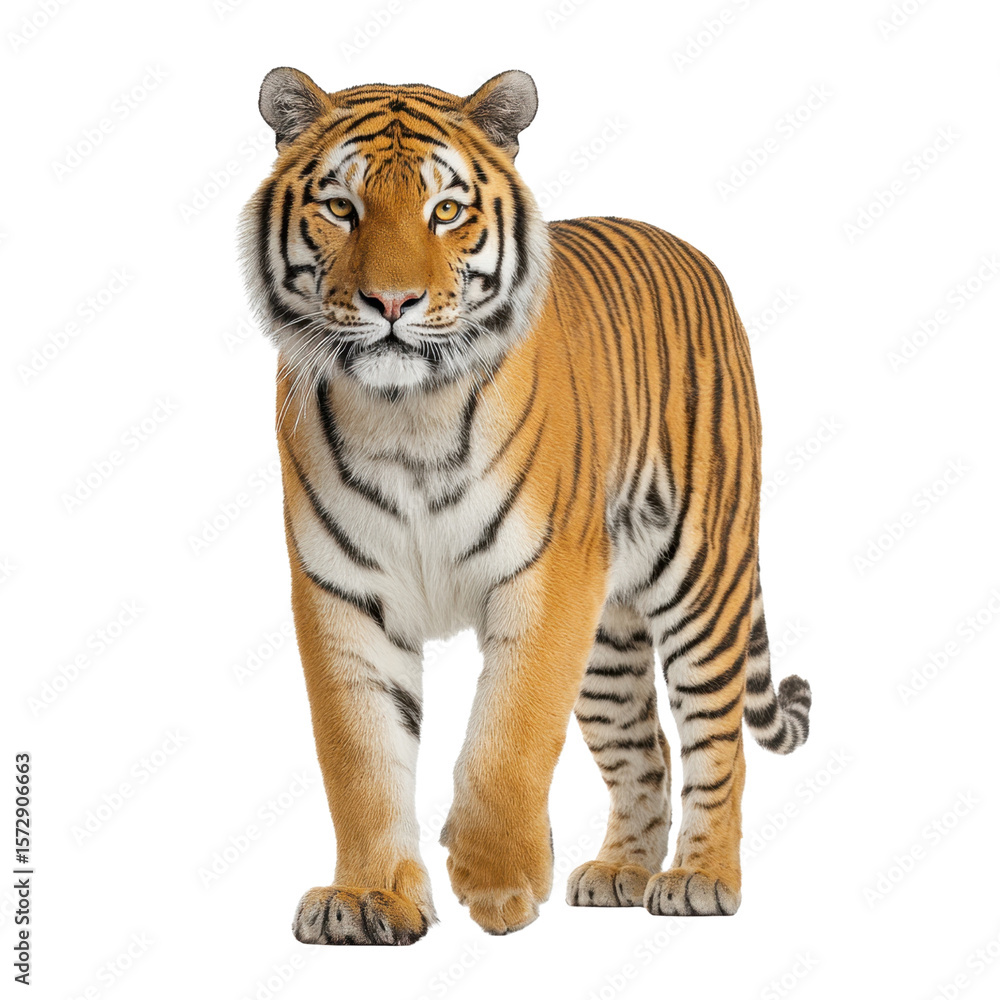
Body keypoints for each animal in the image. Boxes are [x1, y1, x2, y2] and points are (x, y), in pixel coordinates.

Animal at [239, 66, 812, 945]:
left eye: (446, 210)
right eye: (342, 207)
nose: (392, 302)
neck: (407, 415)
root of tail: (682, 243)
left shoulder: (547, 582)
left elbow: (506, 739)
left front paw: (497, 880)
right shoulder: (344, 593)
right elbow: (359, 758)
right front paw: (368, 897)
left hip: (702, 579)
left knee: (716, 741)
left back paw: (700, 878)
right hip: (607, 645)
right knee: (645, 750)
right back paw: (619, 873)